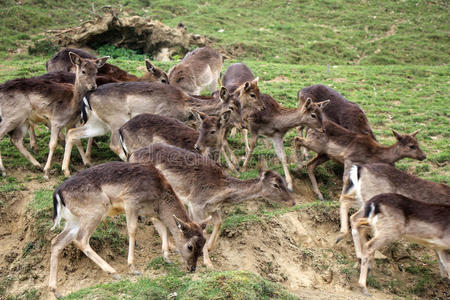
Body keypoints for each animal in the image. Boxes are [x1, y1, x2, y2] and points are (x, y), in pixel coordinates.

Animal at [48, 159, 207, 298]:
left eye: (203, 244)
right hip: (96, 209)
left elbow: (163, 229)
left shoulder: (152, 213)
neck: (159, 199)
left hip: (74, 220)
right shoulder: (131, 201)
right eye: (190, 246)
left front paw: (166, 257)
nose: (192, 268)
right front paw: (133, 268)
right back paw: (114, 272)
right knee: (80, 239)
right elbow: (132, 230)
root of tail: (57, 194)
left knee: (56, 242)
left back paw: (56, 291)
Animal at [127, 144, 296, 270]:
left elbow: (218, 221)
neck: (220, 191)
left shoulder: (210, 208)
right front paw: (208, 263)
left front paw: (208, 248)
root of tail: (131, 155)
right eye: (275, 184)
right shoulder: (196, 202)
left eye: (282, 180)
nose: (293, 202)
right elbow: (201, 230)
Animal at [296, 118, 426, 200]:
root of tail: (309, 128)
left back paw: (319, 194)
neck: (372, 155)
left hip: (325, 154)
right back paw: (298, 166)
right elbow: (346, 179)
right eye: (411, 146)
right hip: (316, 144)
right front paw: (341, 198)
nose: (424, 156)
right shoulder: (349, 158)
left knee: (310, 165)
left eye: (417, 143)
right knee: (297, 139)